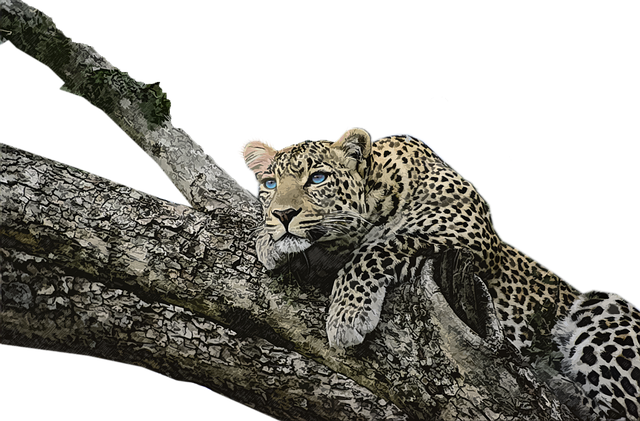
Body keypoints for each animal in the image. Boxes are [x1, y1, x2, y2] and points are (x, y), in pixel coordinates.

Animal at [237, 127, 640, 420]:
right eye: (269, 185)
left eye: (318, 178)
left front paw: (348, 315)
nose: (283, 215)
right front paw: (267, 239)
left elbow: (381, 245)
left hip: (605, 309)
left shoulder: (467, 237)